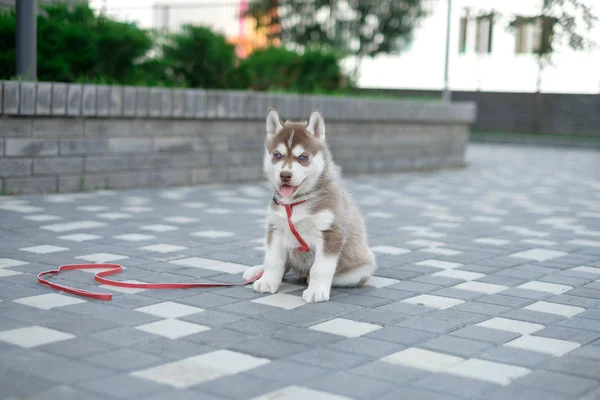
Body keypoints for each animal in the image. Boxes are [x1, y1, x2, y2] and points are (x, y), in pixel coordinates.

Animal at [243, 108, 376, 302]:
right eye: (277, 155)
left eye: (303, 157)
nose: (285, 175)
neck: (295, 203)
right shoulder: (276, 229)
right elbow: (273, 260)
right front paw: (267, 281)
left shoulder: (329, 232)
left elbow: (320, 268)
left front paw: (315, 291)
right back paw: (257, 272)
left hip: (360, 271)